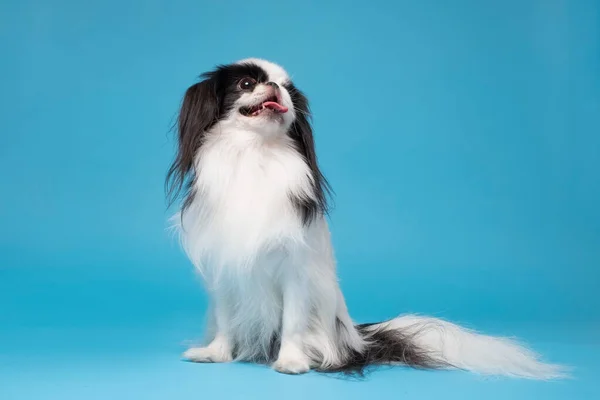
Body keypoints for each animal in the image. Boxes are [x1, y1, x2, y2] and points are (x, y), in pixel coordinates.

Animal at [166, 57, 564, 378]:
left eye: (290, 91)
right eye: (247, 84)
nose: (278, 89)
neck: (255, 154)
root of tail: (355, 337)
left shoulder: (296, 268)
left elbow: (293, 320)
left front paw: (291, 362)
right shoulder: (224, 267)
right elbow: (225, 320)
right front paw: (217, 354)